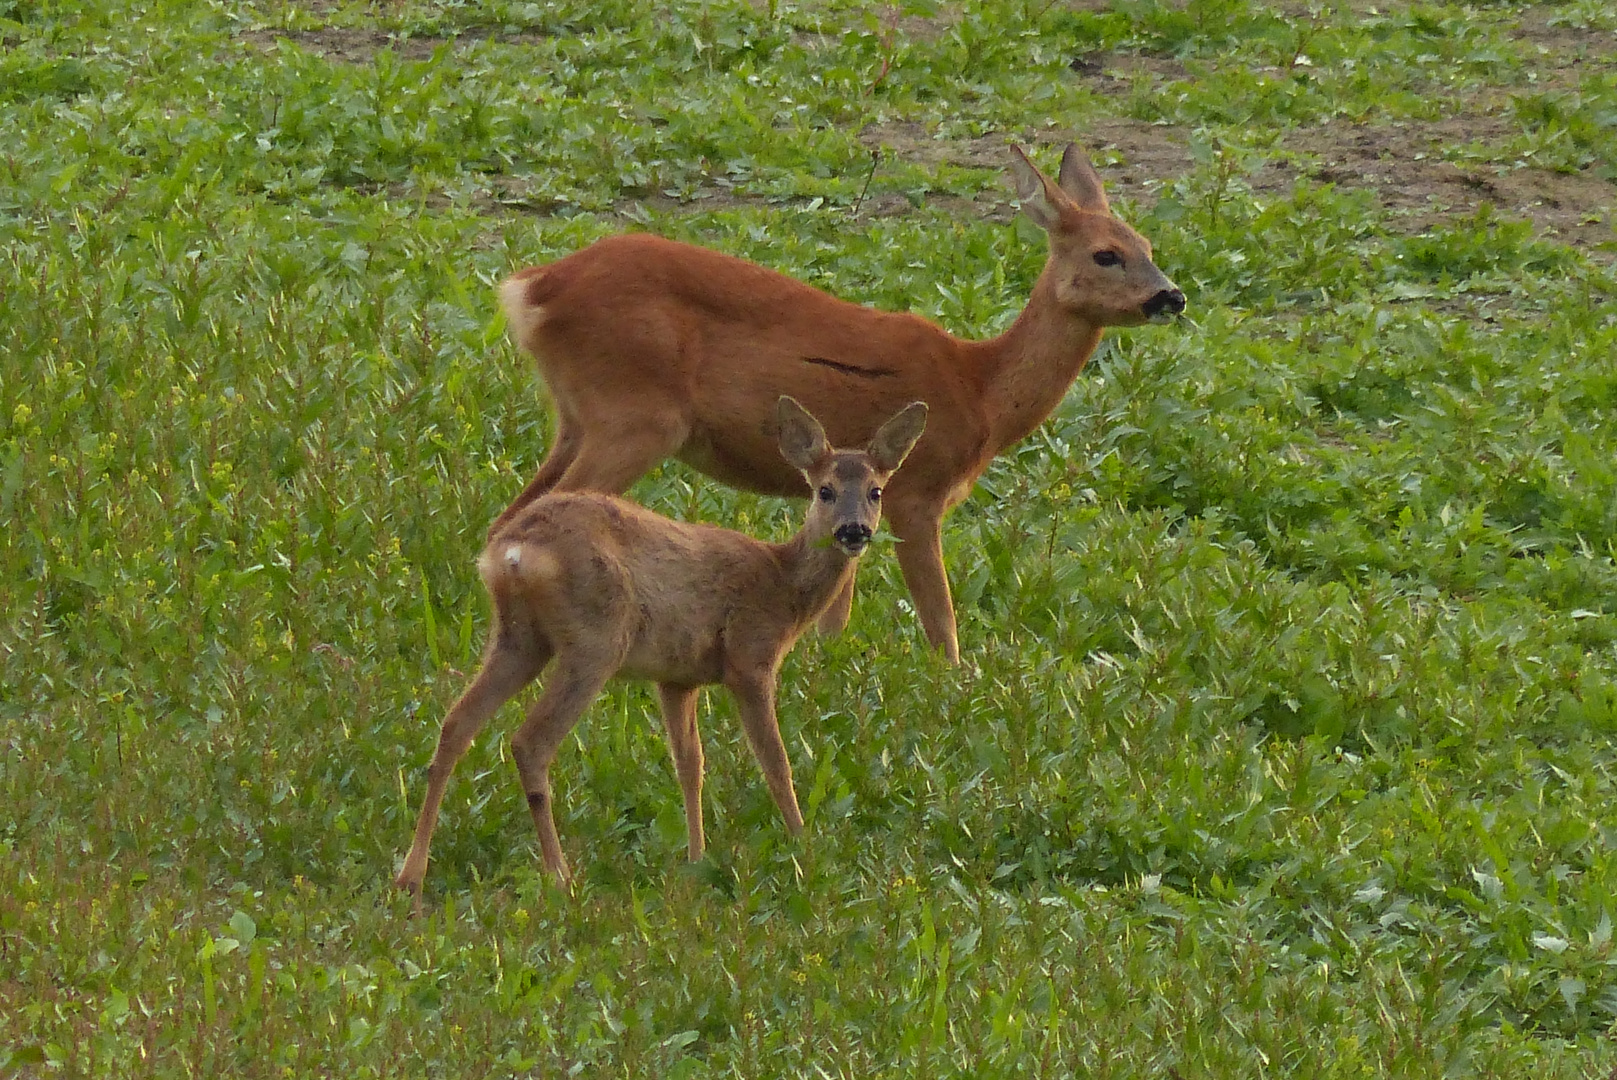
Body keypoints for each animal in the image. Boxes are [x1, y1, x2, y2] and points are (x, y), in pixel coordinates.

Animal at [394, 394, 924, 892]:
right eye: (824, 490)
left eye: (876, 491)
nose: (854, 531)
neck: (783, 587)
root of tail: (514, 553)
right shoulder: (750, 657)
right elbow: (775, 761)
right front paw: (803, 848)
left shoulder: (677, 678)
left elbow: (690, 764)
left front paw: (696, 859)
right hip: (595, 639)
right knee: (529, 742)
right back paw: (560, 876)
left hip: (519, 638)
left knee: (456, 723)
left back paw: (411, 876)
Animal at [485, 139, 1183, 662]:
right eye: (1106, 254)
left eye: (1150, 247)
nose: (1171, 297)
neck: (982, 390)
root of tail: (532, 289)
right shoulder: (916, 492)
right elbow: (941, 620)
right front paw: (955, 688)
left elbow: (834, 619)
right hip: (635, 417)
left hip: (577, 417)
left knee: (506, 517)